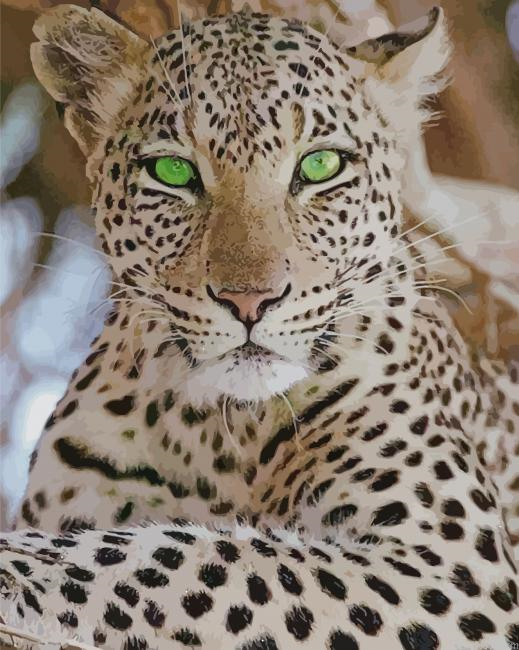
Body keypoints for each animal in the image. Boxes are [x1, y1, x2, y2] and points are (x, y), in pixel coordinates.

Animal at [1, 4, 518, 649]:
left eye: (320, 165)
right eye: (173, 171)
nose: (250, 301)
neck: (213, 432)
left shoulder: (451, 567)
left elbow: (185, 557)